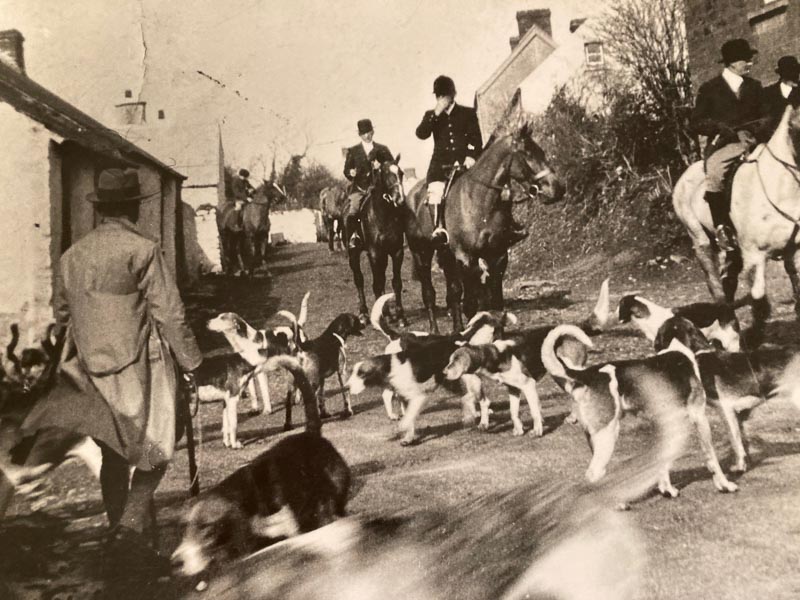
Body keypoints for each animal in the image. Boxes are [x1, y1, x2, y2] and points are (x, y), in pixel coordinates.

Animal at [346, 155, 410, 324]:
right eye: (386, 174)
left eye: (401, 173)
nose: (400, 200)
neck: (383, 215)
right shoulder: (374, 253)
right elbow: (376, 283)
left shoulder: (396, 251)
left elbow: (396, 282)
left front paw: (400, 316)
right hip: (353, 254)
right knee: (359, 280)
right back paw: (364, 314)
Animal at [404, 91, 564, 332]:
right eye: (527, 154)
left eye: (542, 152)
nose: (557, 189)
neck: (481, 201)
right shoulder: (466, 257)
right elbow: (473, 301)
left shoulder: (497, 255)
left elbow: (494, 302)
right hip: (421, 253)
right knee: (430, 293)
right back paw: (436, 330)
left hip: (446, 255)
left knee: (453, 292)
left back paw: (457, 328)